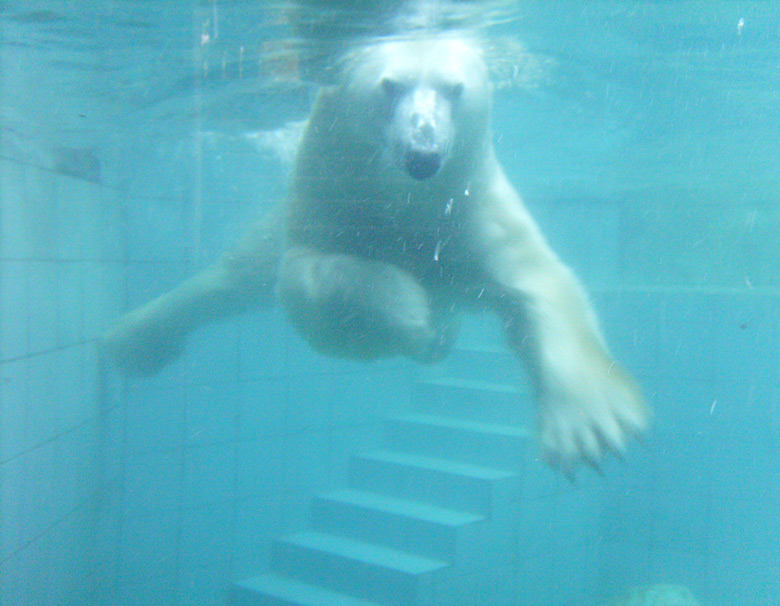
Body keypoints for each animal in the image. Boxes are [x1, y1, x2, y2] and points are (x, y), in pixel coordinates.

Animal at [105, 35, 652, 478]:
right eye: (389, 86)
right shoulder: (330, 197)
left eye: (455, 89)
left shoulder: (470, 208)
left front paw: (589, 423)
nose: (423, 152)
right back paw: (134, 341)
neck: (408, 206)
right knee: (234, 276)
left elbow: (539, 285)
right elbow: (308, 278)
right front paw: (408, 310)